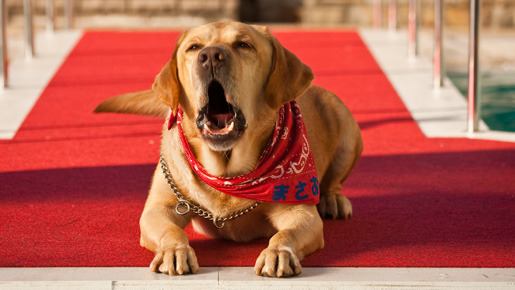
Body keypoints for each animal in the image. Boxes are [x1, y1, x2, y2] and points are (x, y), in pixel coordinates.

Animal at [97, 21, 362, 278]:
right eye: (194, 47)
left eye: (244, 45)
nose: (210, 56)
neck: (226, 173)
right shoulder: (158, 209)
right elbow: (171, 230)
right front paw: (174, 250)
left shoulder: (300, 211)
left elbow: (285, 234)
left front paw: (278, 253)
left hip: (347, 127)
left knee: (334, 183)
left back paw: (333, 200)